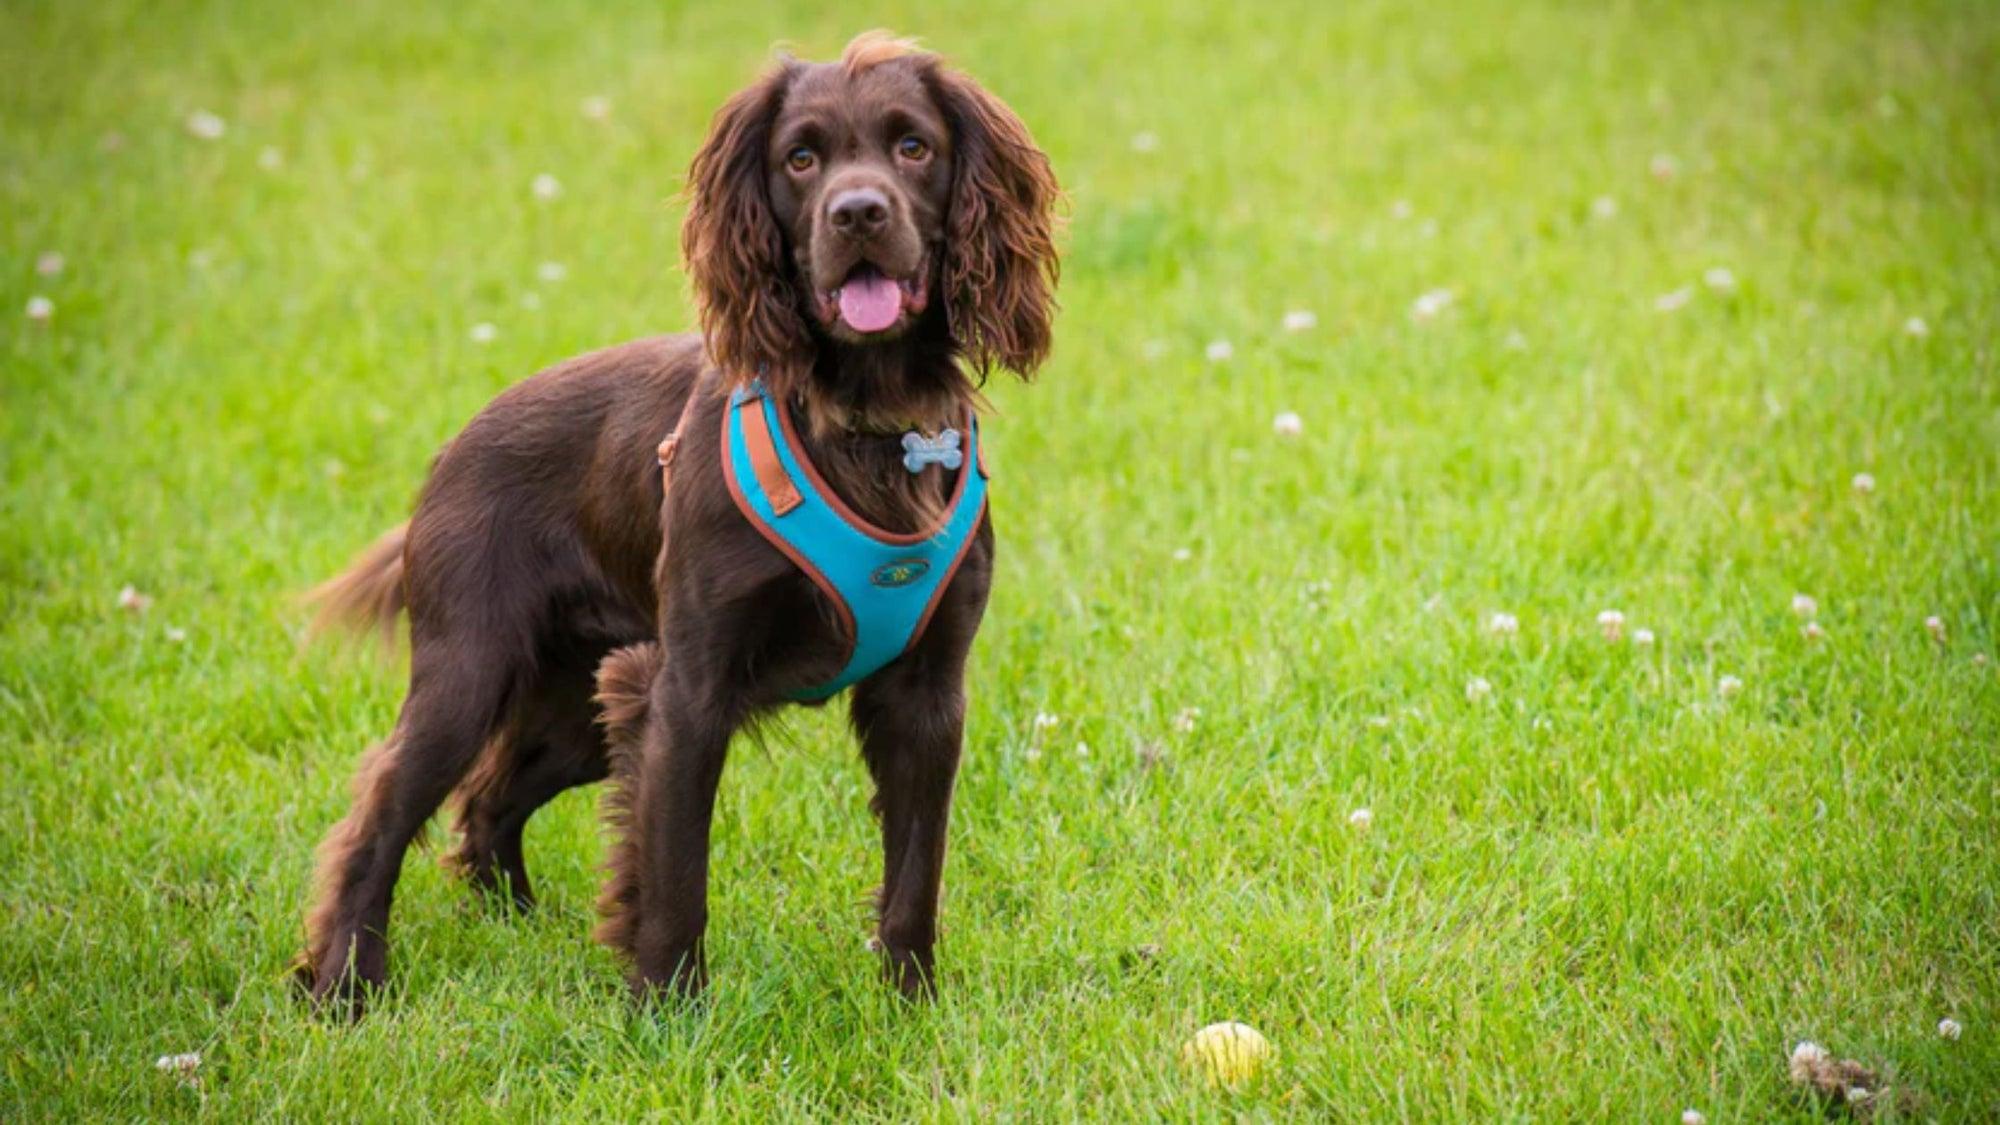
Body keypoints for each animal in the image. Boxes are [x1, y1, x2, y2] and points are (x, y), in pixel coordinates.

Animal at [296, 30, 1064, 1012]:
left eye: (913, 146)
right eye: (801, 158)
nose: (857, 213)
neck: (864, 422)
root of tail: (450, 450)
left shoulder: (927, 694)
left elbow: (915, 873)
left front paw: (913, 1006)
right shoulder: (685, 687)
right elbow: (674, 870)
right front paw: (667, 1011)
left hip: (577, 697)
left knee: (490, 798)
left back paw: (517, 924)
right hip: (470, 671)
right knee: (384, 808)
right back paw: (345, 981)